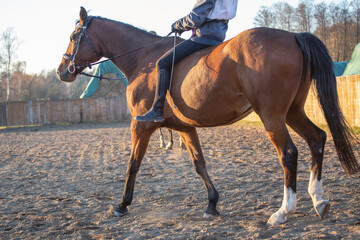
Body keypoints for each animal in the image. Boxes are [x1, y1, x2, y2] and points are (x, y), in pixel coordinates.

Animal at [56, 7, 358, 225]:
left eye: (73, 37)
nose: (62, 71)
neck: (144, 60)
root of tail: (293, 35)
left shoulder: (140, 127)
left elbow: (133, 164)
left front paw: (121, 205)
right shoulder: (185, 128)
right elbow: (199, 164)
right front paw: (212, 204)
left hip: (272, 115)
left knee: (289, 153)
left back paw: (283, 211)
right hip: (293, 111)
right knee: (317, 139)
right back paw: (319, 201)